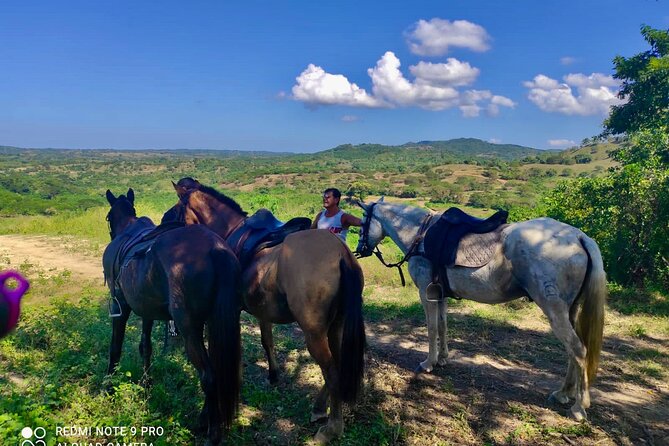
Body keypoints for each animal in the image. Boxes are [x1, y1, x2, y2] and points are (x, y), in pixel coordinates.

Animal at [103, 189, 241, 446]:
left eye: (108, 217)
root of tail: (215, 248)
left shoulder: (121, 307)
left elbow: (115, 348)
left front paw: (107, 388)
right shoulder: (146, 310)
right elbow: (145, 347)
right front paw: (146, 386)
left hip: (189, 329)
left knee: (208, 376)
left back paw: (212, 433)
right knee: (216, 370)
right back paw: (203, 420)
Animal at [167, 179, 366, 442]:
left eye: (178, 207)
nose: (166, 223)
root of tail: (342, 255)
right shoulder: (262, 311)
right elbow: (267, 341)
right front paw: (273, 375)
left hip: (314, 334)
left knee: (332, 372)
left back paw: (331, 427)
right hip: (337, 326)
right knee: (339, 365)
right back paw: (319, 408)